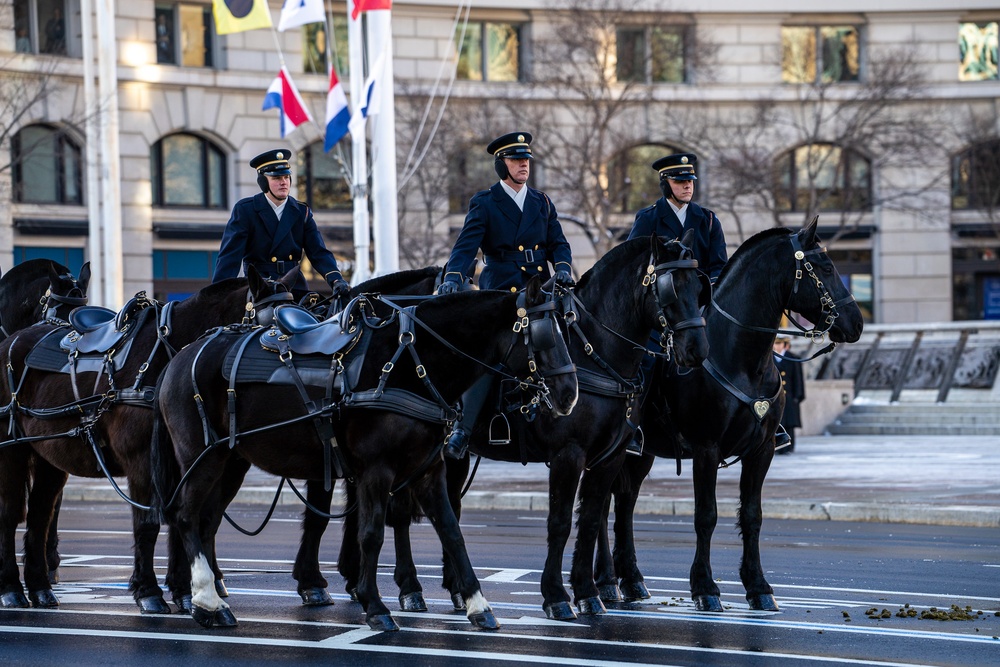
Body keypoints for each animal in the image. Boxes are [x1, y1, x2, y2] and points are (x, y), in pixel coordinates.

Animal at [0, 268, 296, 612]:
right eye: (276, 328)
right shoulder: (141, 461)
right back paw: (12, 588)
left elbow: (182, 520)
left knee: (40, 514)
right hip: (12, 452)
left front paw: (184, 592)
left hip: (50, 456)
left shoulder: (185, 463)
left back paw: (40, 587)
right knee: (11, 513)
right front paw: (149, 591)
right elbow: (148, 522)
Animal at [150, 276, 580, 632]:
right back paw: (206, 600)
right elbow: (371, 535)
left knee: (206, 522)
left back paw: (209, 596)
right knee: (186, 515)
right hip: (202, 458)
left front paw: (478, 604)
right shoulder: (377, 471)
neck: (411, 363)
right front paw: (375, 606)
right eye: (545, 336)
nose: (570, 395)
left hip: (232, 462)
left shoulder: (430, 471)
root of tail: (179, 357)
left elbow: (452, 532)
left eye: (567, 330)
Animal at [340, 234, 716, 620]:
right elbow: (560, 522)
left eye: (699, 287)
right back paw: (409, 588)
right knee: (400, 513)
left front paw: (588, 592)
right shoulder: (569, 455)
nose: (697, 350)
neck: (594, 353)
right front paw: (556, 595)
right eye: (671, 290)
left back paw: (449, 589)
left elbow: (590, 520)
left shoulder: (608, 458)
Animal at [588, 218, 864, 612]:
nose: (856, 323)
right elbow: (706, 515)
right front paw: (705, 587)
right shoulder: (707, 450)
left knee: (623, 504)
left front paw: (758, 586)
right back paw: (607, 582)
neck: (742, 358)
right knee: (601, 505)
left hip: (641, 453)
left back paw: (631, 580)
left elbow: (752, 515)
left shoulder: (762, 450)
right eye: (824, 267)